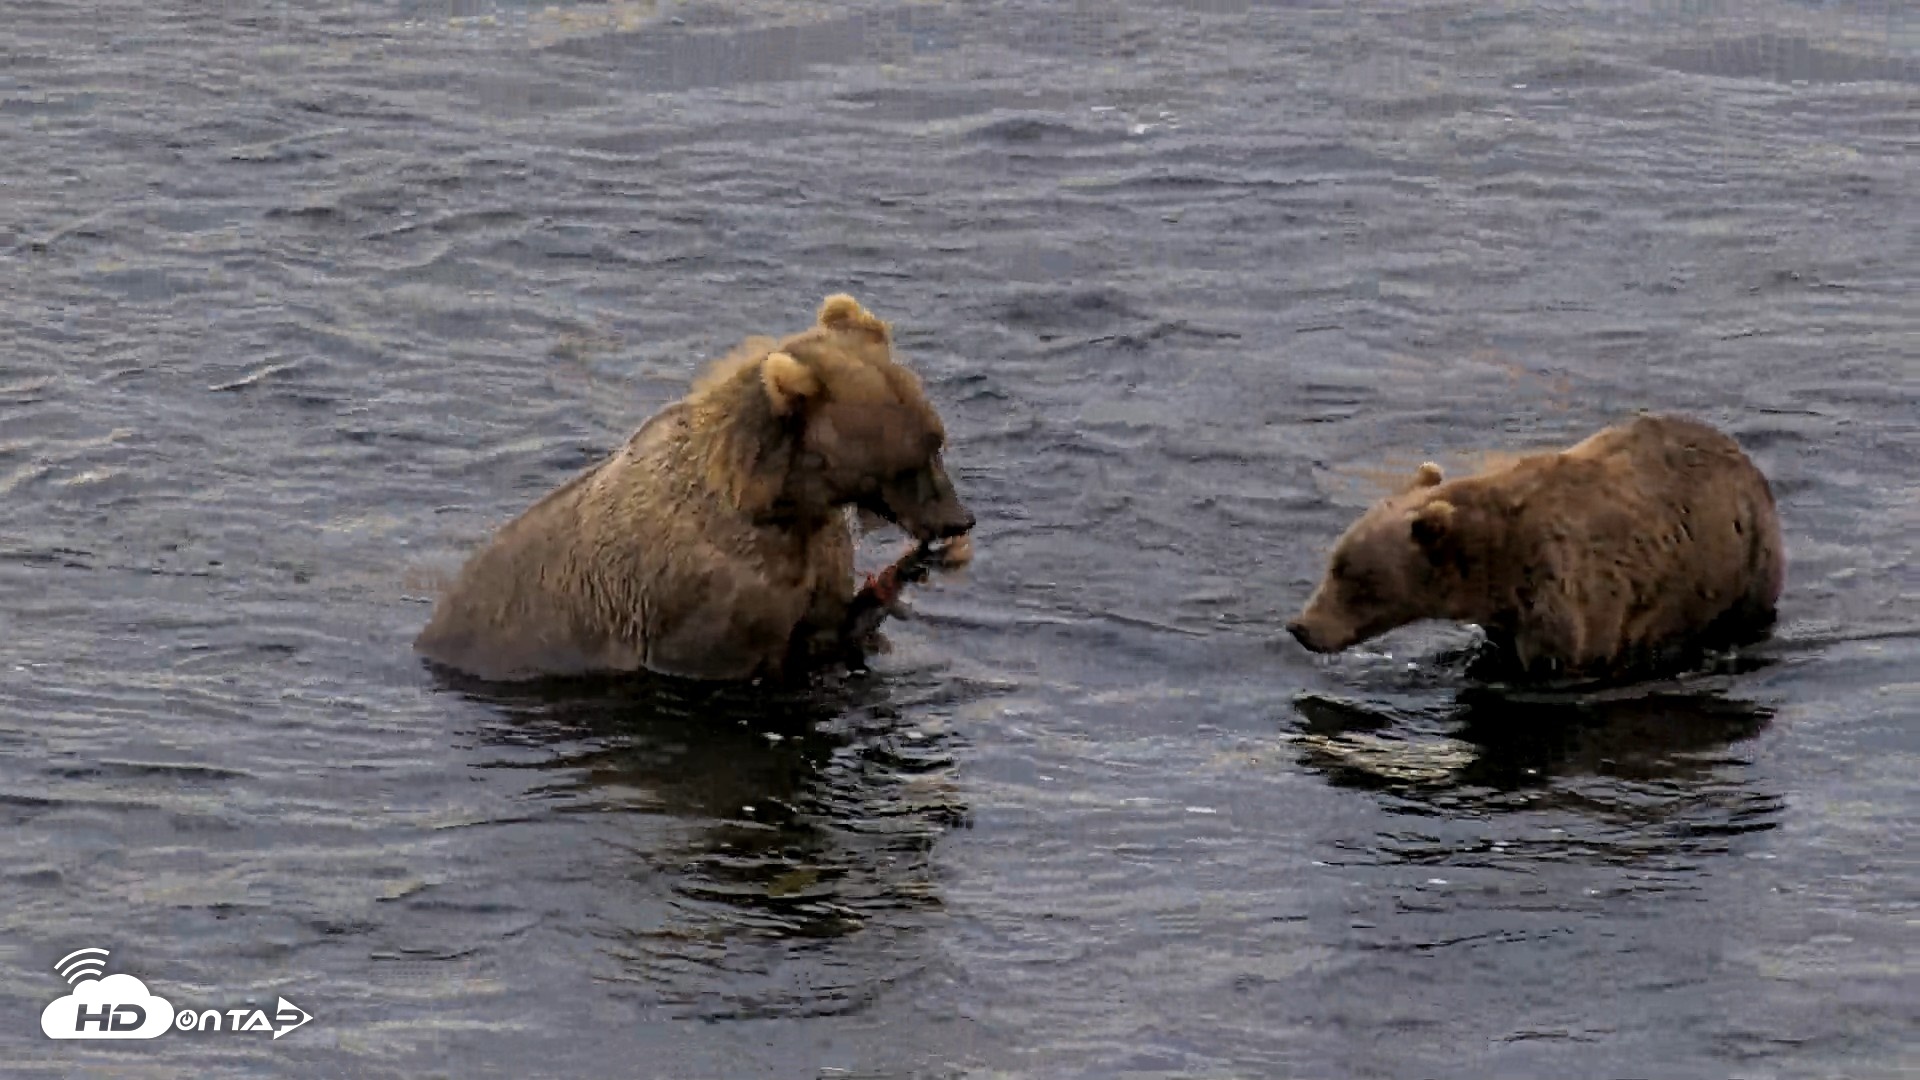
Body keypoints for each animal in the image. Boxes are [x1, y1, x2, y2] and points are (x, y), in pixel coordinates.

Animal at [414, 294, 974, 683]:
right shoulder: (708, 598)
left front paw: (900, 578)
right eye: (908, 461)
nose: (958, 519)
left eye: (937, 440)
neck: (777, 503)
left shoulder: (814, 548)